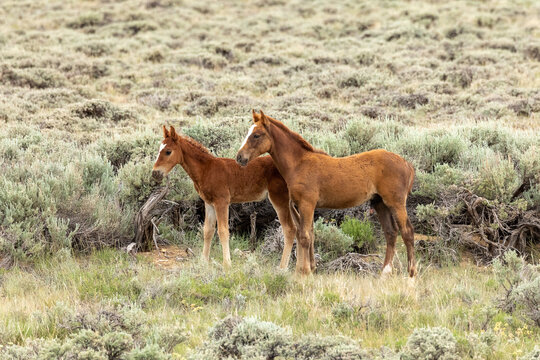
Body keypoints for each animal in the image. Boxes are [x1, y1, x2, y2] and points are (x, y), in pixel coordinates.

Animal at [152, 125, 296, 268]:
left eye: (168, 151)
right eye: (159, 149)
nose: (155, 173)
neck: (206, 170)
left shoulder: (222, 202)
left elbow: (223, 231)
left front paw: (227, 264)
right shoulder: (209, 203)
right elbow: (208, 230)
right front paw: (203, 261)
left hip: (279, 198)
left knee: (289, 229)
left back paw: (282, 268)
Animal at [236, 110, 418, 278]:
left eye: (256, 135)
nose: (239, 157)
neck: (299, 164)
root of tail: (407, 164)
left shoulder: (307, 204)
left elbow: (304, 236)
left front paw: (305, 272)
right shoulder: (299, 205)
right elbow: (308, 234)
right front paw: (308, 269)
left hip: (396, 202)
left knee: (407, 232)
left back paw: (411, 276)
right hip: (380, 203)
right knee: (391, 233)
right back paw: (384, 273)